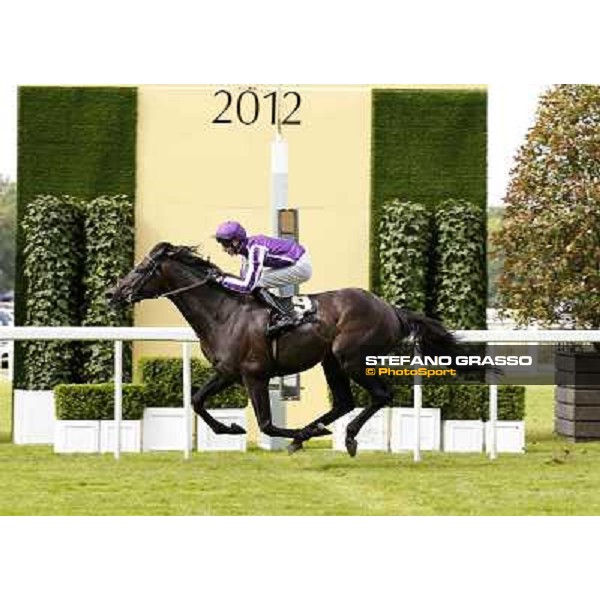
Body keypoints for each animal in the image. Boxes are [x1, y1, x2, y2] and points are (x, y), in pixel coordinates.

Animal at [106, 241, 460, 458]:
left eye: (141, 269)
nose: (113, 293)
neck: (224, 312)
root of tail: (390, 309)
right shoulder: (227, 372)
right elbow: (196, 401)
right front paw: (230, 428)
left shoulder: (254, 374)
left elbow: (265, 423)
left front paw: (296, 434)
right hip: (331, 361)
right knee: (344, 402)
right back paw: (312, 430)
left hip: (351, 358)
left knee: (381, 395)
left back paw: (343, 436)